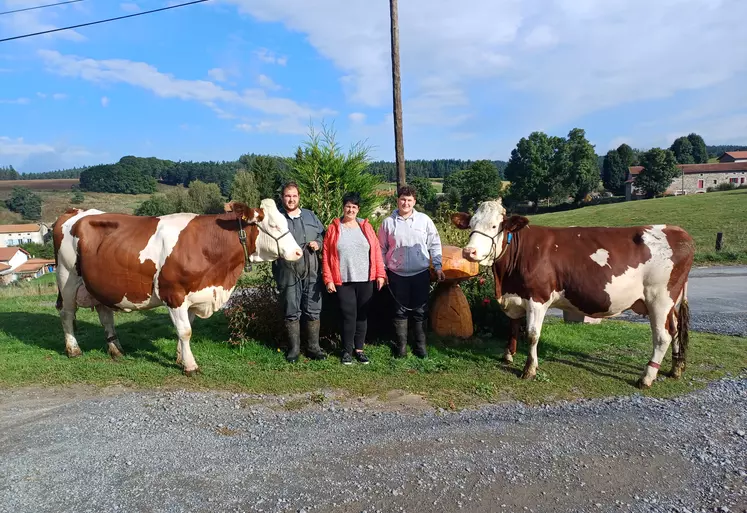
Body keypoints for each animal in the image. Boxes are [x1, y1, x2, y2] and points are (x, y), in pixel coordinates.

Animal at [51, 198, 304, 374]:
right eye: (273, 224)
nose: (299, 252)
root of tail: (75, 211)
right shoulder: (174, 294)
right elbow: (185, 331)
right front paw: (190, 366)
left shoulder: (195, 295)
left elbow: (188, 329)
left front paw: (181, 358)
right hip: (67, 277)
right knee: (67, 313)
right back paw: (74, 350)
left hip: (100, 284)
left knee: (105, 315)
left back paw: (116, 350)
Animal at [452, 199, 700, 388]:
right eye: (471, 224)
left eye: (495, 226)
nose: (468, 251)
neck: (505, 280)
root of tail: (677, 231)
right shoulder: (515, 296)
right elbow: (512, 325)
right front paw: (508, 355)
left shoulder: (538, 298)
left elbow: (531, 334)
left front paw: (529, 369)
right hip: (670, 302)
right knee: (675, 330)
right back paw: (675, 368)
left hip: (659, 298)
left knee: (662, 336)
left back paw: (646, 377)